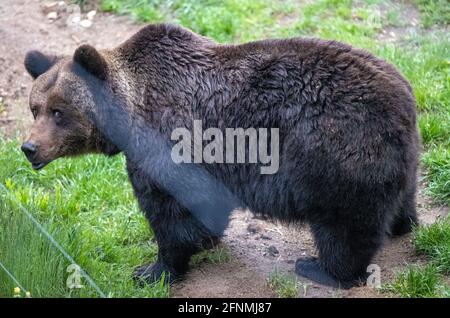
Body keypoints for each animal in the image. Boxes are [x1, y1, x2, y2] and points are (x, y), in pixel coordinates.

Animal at [23, 24, 418, 288]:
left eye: (59, 112)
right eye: (35, 108)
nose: (29, 148)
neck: (129, 114)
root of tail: (402, 96)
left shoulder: (169, 143)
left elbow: (173, 212)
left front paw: (152, 270)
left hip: (332, 151)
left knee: (343, 224)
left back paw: (321, 268)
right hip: (399, 156)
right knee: (399, 199)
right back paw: (403, 224)